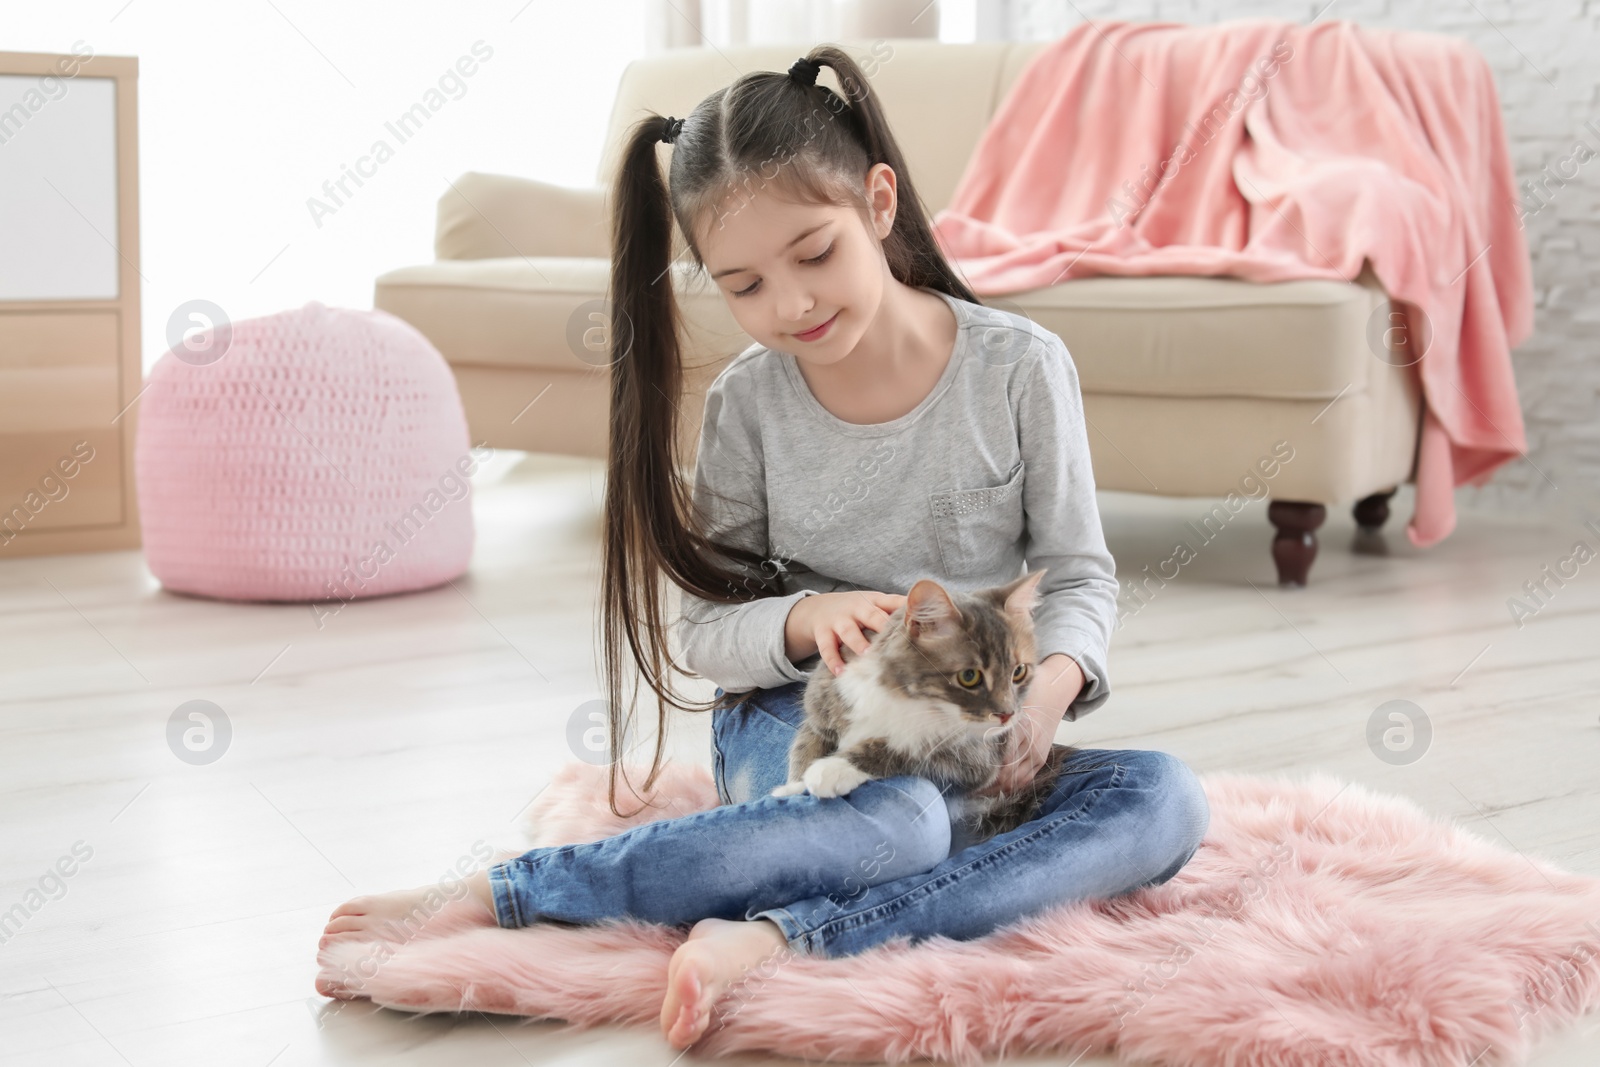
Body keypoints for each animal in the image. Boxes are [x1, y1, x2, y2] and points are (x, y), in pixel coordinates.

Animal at [768, 572, 1081, 844]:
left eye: (1019, 672)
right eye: (970, 676)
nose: (1007, 715)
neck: (905, 696)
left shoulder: (978, 759)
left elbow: (901, 750)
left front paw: (833, 769)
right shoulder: (825, 704)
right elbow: (805, 749)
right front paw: (793, 788)